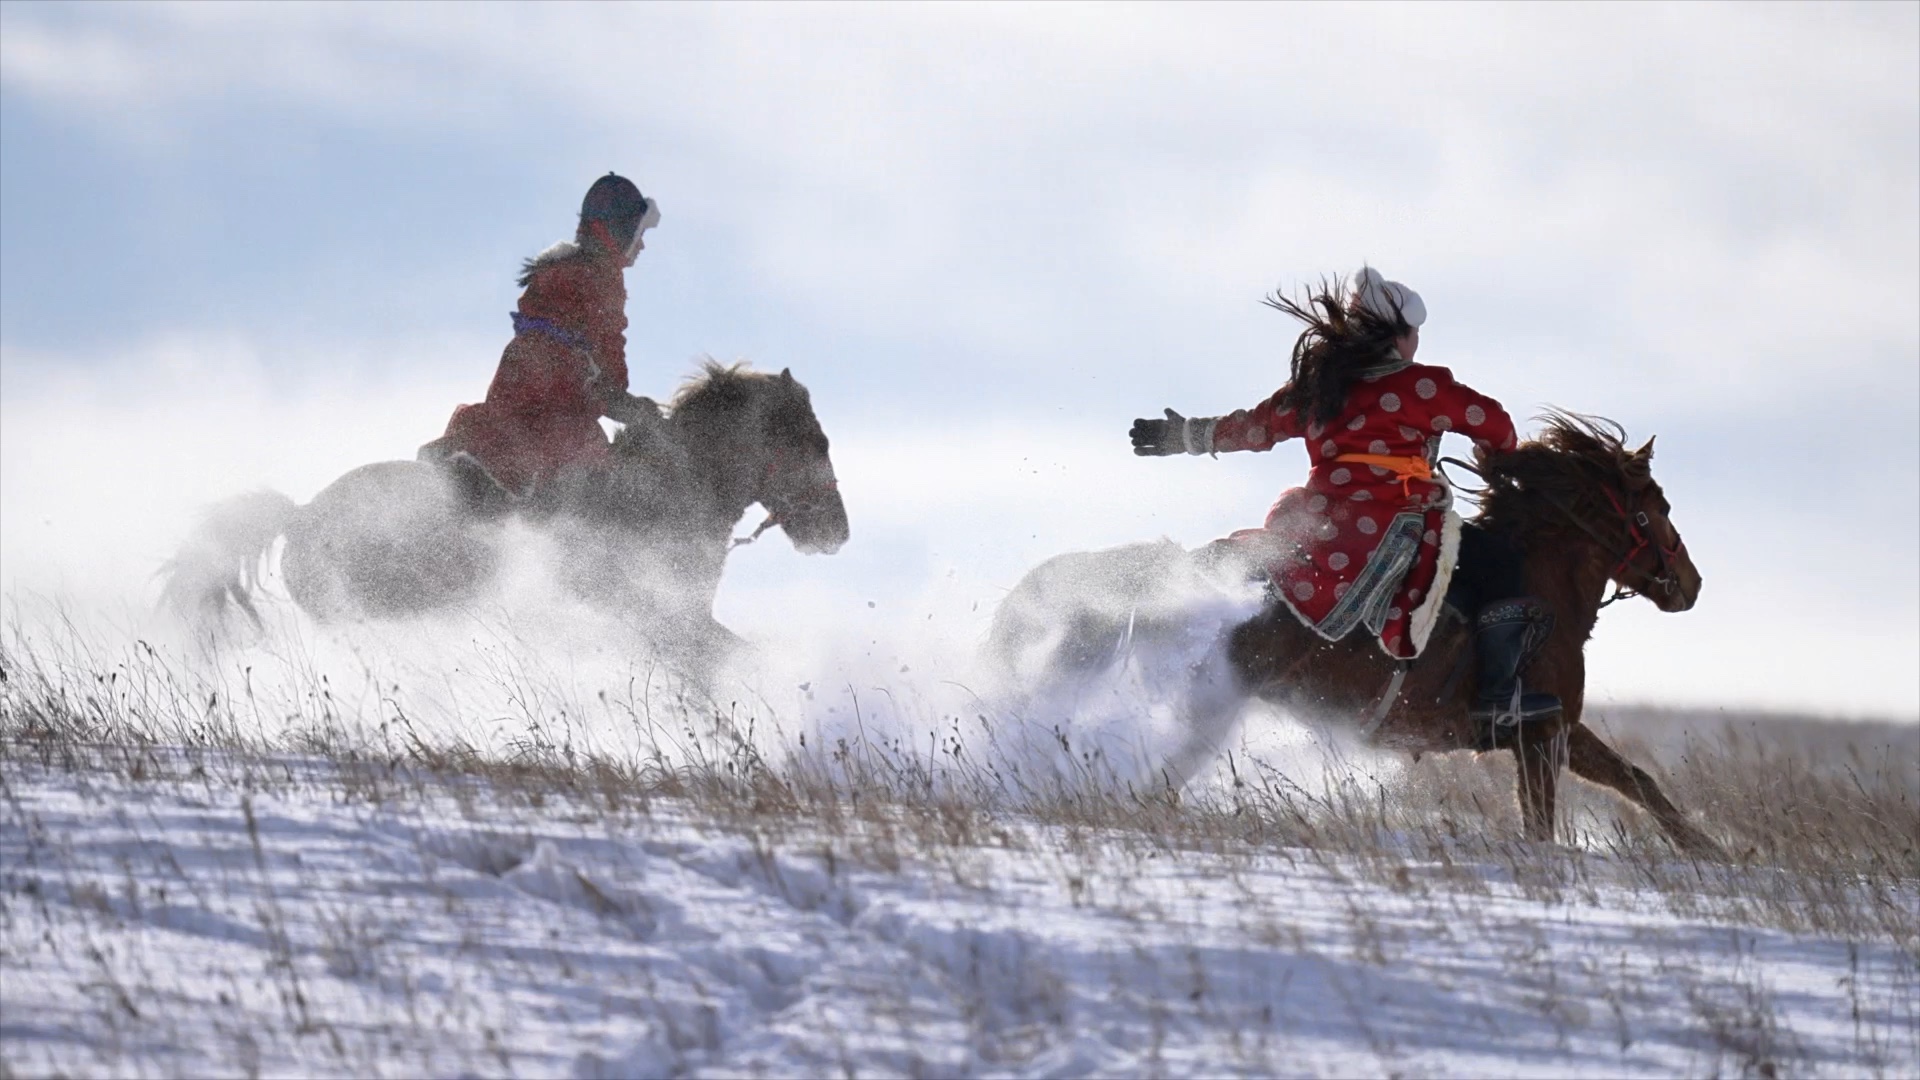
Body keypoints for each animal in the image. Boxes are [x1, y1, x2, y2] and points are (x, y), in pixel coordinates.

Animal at [990, 417, 1728, 853]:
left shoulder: (1551, 734)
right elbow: (1555, 821)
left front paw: (1708, 851)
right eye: (1655, 506)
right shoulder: (1543, 732)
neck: (1540, 583)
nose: (1689, 584)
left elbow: (1634, 780)